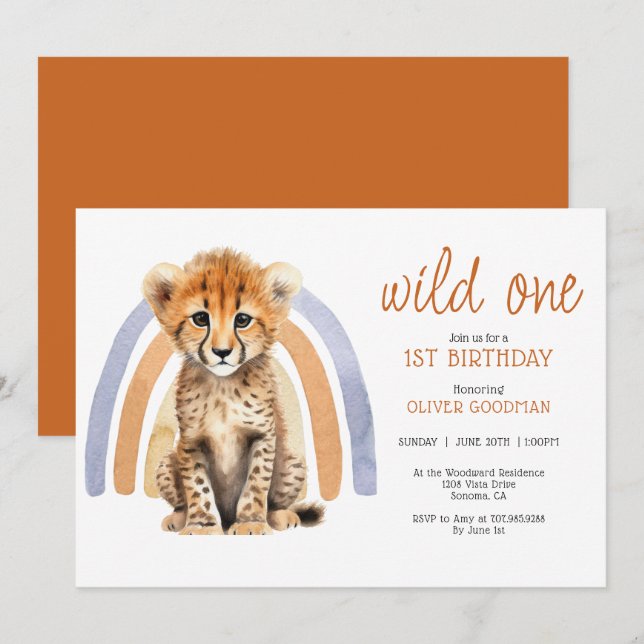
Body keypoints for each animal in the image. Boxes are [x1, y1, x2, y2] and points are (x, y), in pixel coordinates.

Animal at [143, 247, 324, 535]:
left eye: (242, 320)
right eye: (201, 318)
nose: (222, 352)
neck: (223, 386)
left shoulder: (262, 436)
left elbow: (257, 482)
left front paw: (250, 522)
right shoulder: (191, 442)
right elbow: (197, 486)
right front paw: (202, 524)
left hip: (292, 461)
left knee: (275, 500)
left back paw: (279, 516)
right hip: (165, 464)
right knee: (181, 499)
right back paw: (179, 518)